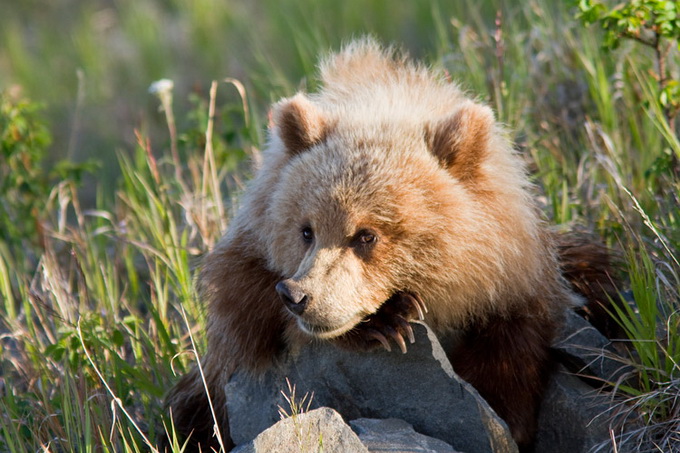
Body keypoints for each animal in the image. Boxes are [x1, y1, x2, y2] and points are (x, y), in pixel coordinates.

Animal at [162, 39, 612, 452]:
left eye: (367, 235)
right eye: (306, 230)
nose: (299, 296)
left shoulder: (514, 269)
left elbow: (515, 344)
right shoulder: (249, 255)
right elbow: (244, 307)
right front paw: (388, 321)